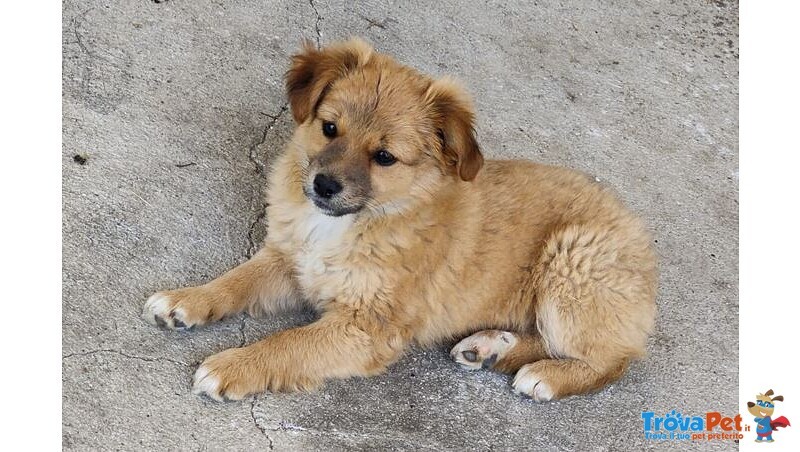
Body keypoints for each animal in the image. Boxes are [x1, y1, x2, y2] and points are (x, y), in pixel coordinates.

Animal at [142, 37, 656, 400]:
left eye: (384, 157)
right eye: (330, 128)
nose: (324, 186)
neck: (355, 222)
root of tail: (637, 231)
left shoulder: (367, 326)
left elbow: (287, 343)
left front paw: (234, 365)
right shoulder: (290, 261)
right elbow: (237, 280)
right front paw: (187, 300)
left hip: (572, 268)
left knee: (612, 359)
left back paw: (545, 376)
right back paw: (488, 348)